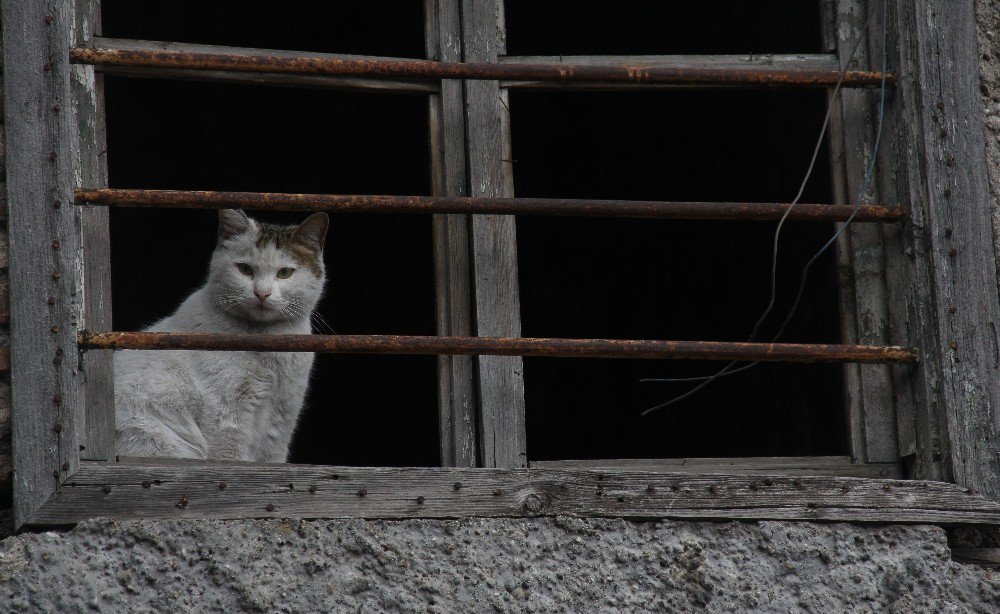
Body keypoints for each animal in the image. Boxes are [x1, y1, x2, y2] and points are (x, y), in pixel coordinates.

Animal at [115, 211, 328, 462]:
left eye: (285, 273)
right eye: (245, 269)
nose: (262, 293)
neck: (264, 343)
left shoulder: (281, 420)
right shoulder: (226, 416)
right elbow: (231, 458)